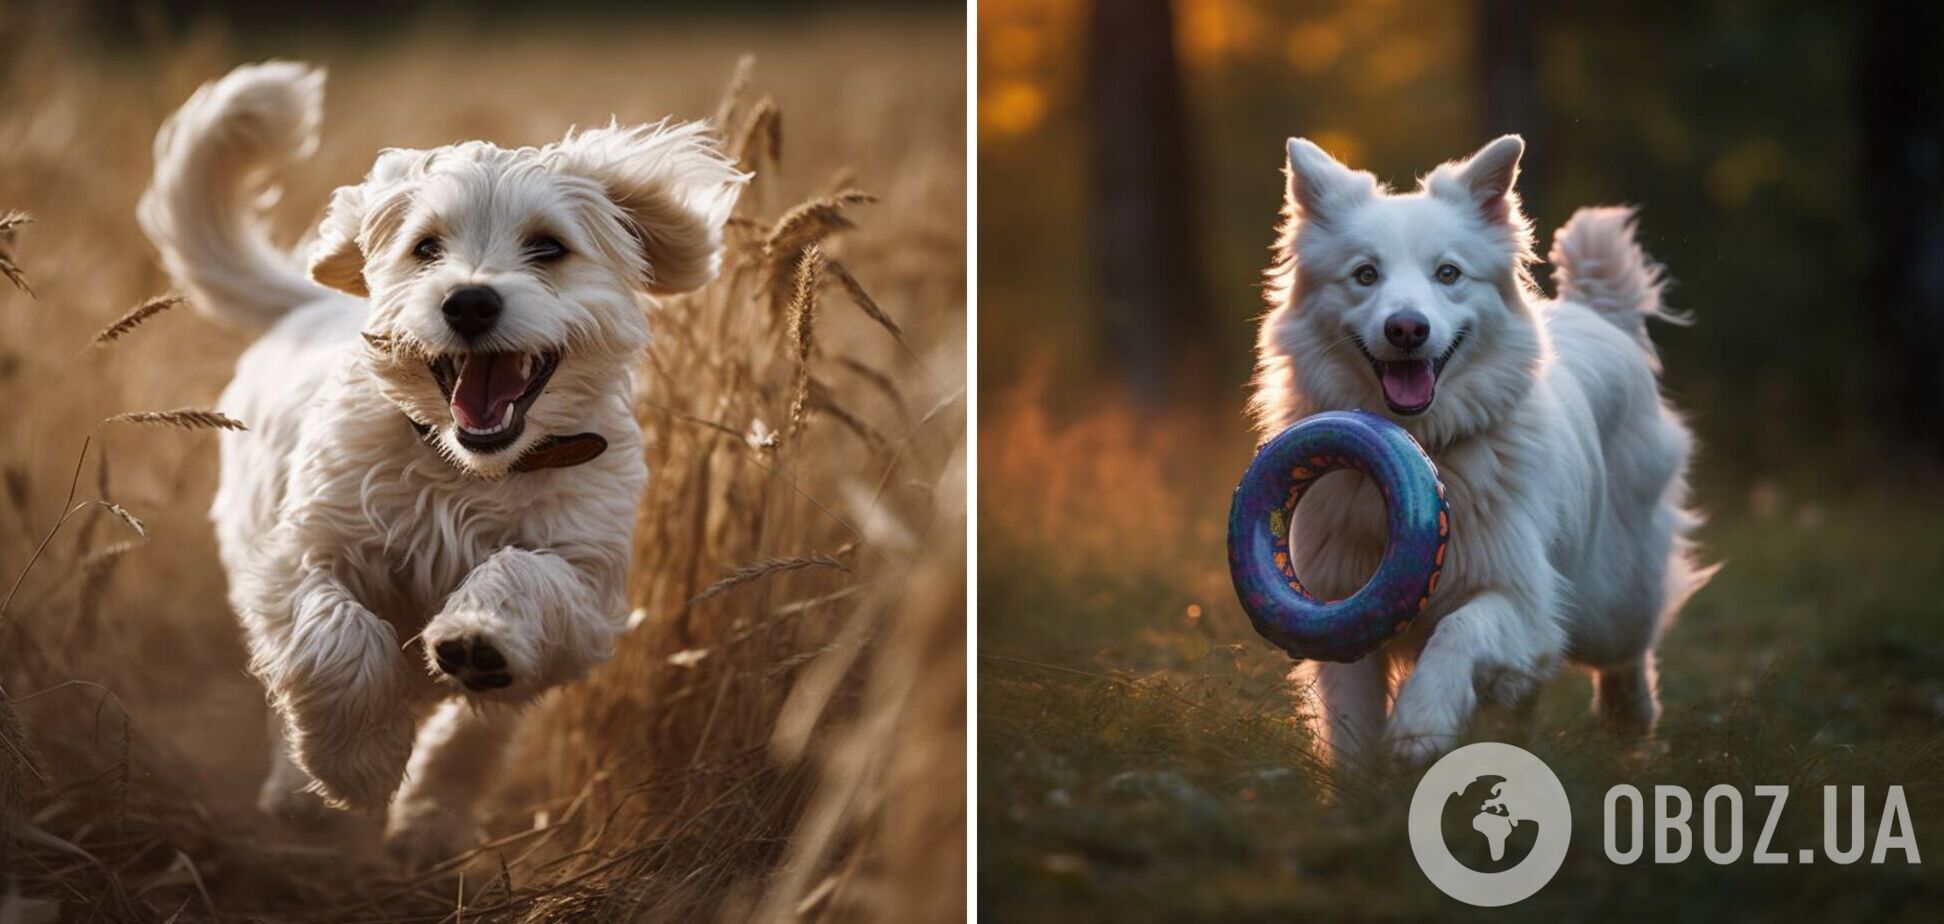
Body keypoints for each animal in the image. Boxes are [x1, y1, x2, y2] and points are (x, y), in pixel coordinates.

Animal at [140, 61, 746, 859]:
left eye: (548, 247)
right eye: (426, 247)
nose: (469, 302)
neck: (468, 472)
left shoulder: (588, 591)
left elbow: (519, 587)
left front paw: (474, 640)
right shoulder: (296, 556)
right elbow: (335, 638)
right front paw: (356, 763)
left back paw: (433, 816)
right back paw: (300, 793)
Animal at [1251, 134, 1710, 770]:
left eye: (1448, 273)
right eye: (1365, 274)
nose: (1407, 329)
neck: (1422, 446)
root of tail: (1600, 313)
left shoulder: (1523, 599)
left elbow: (1460, 629)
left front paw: (1420, 725)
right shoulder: (1340, 613)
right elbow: (1352, 729)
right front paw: (1362, 783)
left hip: (1610, 597)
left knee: (1627, 651)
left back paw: (1632, 723)